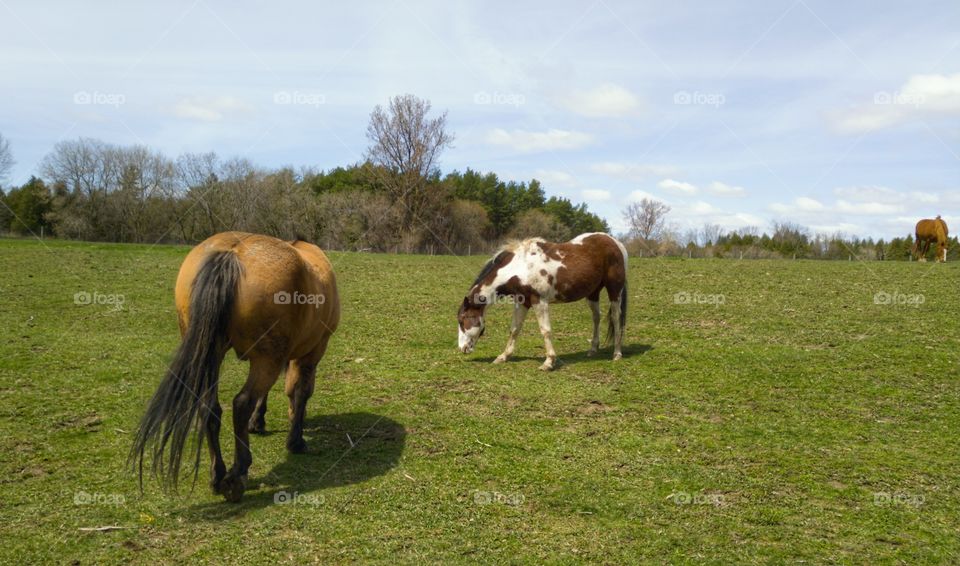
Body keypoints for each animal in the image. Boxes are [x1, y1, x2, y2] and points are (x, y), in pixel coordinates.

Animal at [131, 232, 340, 502]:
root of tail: (231, 253)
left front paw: (258, 422)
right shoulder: (312, 353)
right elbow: (301, 392)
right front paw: (296, 440)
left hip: (214, 354)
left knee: (209, 407)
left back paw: (218, 474)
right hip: (267, 359)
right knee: (241, 403)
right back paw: (237, 473)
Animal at [457, 232, 628, 371]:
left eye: (462, 320)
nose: (462, 348)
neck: (521, 267)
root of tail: (615, 242)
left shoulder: (539, 301)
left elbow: (545, 330)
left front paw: (549, 362)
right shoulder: (522, 302)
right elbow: (514, 329)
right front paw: (503, 356)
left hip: (614, 291)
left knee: (616, 318)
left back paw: (617, 354)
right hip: (593, 293)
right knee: (596, 317)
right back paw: (593, 349)